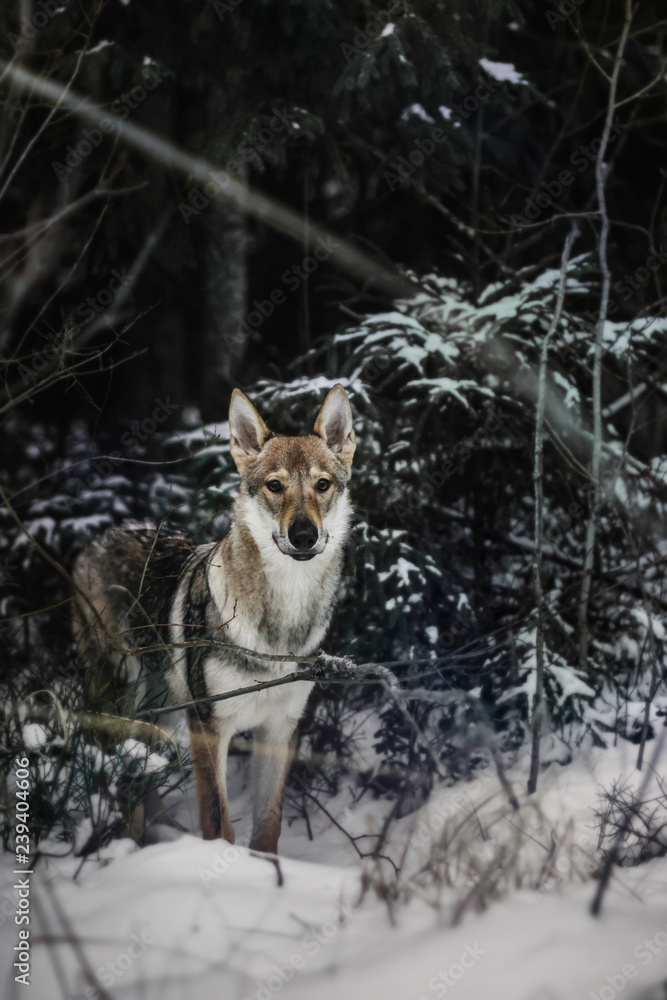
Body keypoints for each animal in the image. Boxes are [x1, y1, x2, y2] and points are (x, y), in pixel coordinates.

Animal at [72, 384, 356, 854]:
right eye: (275, 486)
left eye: (322, 485)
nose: (303, 535)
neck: (279, 626)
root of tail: (97, 538)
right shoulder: (208, 725)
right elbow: (218, 823)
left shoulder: (279, 730)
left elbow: (268, 826)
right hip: (128, 694)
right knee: (122, 777)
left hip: (164, 711)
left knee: (143, 775)